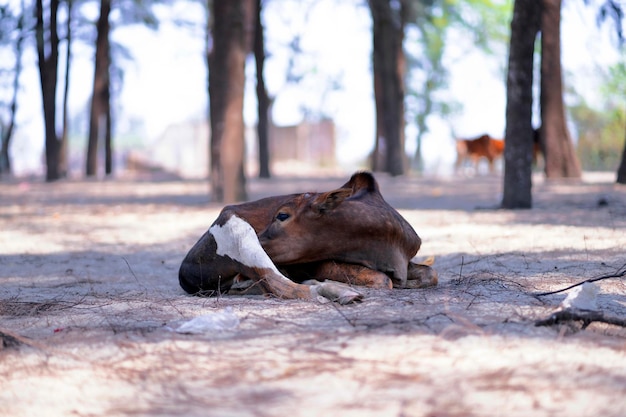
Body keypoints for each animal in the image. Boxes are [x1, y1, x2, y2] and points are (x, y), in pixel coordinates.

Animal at [178, 171, 436, 304]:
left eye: (282, 215)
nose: (262, 238)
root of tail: (184, 272)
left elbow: (431, 274)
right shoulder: (319, 264)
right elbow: (383, 280)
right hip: (237, 233)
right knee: (282, 284)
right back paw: (341, 292)